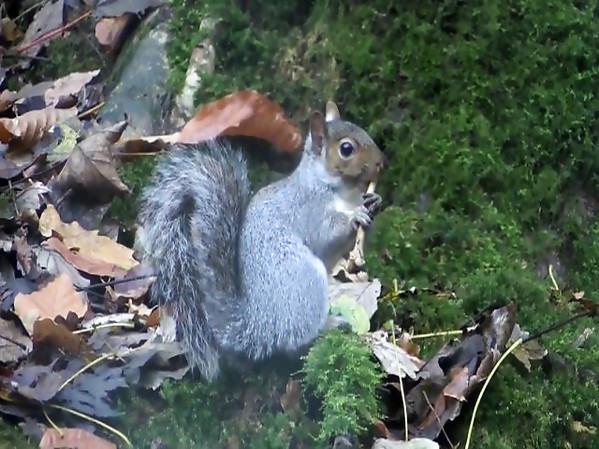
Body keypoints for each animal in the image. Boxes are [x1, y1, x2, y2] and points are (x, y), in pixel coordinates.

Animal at [136, 101, 385, 381]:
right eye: (346, 149)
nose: (381, 163)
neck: (337, 189)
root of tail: (259, 326)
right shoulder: (309, 209)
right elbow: (326, 235)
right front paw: (355, 216)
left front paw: (374, 202)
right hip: (304, 281)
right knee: (296, 340)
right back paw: (330, 324)